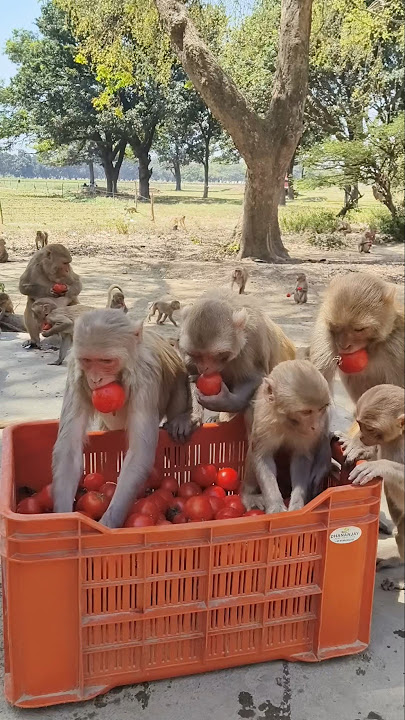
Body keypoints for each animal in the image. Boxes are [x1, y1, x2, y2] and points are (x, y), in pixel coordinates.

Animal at [52, 309, 194, 528]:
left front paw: (107, 524)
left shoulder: (146, 378)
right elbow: (69, 448)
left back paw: (182, 419)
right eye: (87, 360)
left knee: (178, 381)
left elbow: (139, 454)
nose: (95, 379)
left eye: (106, 361)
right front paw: (64, 520)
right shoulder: (76, 372)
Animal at [179, 290, 296, 422]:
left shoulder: (253, 339)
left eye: (215, 355)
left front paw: (225, 401)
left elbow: (255, 377)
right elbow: (189, 375)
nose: (204, 368)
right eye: (196, 355)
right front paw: (190, 416)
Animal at [241, 360, 332, 514]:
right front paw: (276, 507)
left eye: (321, 408)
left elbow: (301, 457)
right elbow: (262, 456)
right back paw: (249, 495)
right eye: (306, 412)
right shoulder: (264, 419)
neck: (289, 422)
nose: (315, 426)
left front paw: (297, 504)